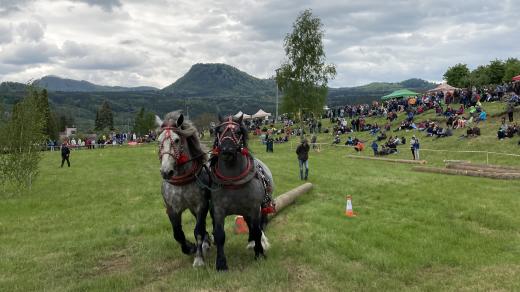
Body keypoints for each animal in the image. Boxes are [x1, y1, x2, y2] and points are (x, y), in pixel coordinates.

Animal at [155, 111, 210, 266]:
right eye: (158, 141)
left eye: (177, 140)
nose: (166, 172)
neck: (182, 181)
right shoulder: (172, 209)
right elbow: (178, 234)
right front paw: (190, 247)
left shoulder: (201, 205)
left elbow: (198, 231)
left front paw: (198, 258)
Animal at [209, 114, 274, 272]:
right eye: (219, 131)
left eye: (238, 132)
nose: (226, 150)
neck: (233, 182)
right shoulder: (218, 210)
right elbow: (220, 235)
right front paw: (221, 263)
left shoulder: (254, 208)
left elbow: (257, 230)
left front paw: (259, 253)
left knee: (256, 226)